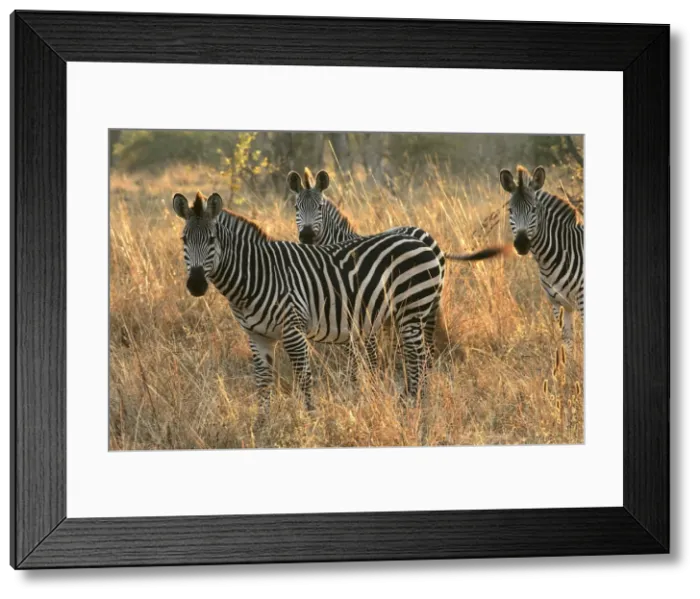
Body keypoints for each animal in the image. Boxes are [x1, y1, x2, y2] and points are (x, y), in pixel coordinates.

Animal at [172, 191, 442, 414]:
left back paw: (416, 405)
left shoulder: (293, 329)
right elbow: (263, 382)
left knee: (418, 358)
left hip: (412, 310)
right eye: (183, 239)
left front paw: (312, 421)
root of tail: (420, 240)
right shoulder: (257, 336)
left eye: (212, 239)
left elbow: (303, 378)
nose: (196, 285)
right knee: (418, 356)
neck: (257, 273)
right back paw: (414, 402)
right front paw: (261, 426)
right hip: (407, 314)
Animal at [287, 168, 503, 367]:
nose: (306, 235)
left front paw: (370, 376)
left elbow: (366, 353)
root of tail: (426, 235)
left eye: (319, 207)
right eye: (296, 207)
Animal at [499, 165, 584, 354]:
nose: (522, 244)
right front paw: (569, 362)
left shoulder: (582, 300)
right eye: (510, 211)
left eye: (533, 210)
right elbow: (566, 342)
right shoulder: (559, 303)